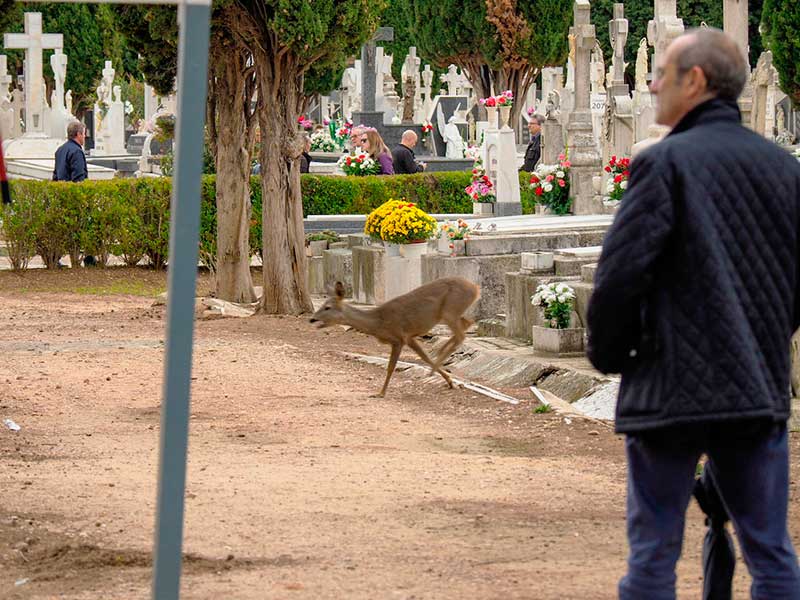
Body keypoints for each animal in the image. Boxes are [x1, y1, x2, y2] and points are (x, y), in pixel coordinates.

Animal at [310, 278, 478, 398]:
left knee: (461, 333)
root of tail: (476, 288)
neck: (378, 323)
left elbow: (393, 366)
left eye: (327, 307)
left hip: (450, 310)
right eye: (323, 305)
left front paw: (380, 393)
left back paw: (437, 362)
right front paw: (449, 381)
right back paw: (440, 355)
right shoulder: (407, 337)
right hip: (451, 313)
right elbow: (422, 357)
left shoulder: (399, 338)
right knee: (467, 324)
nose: (312, 319)